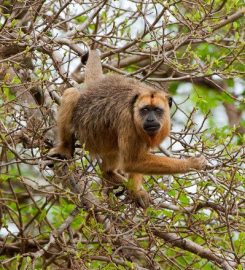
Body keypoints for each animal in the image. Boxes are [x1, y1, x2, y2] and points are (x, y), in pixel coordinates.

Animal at [49, 49, 207, 208]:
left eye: (157, 110)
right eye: (144, 110)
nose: (150, 119)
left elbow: (137, 160)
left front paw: (136, 191)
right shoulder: (127, 121)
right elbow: (133, 161)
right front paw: (190, 164)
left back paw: (110, 174)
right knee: (71, 94)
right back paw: (65, 149)